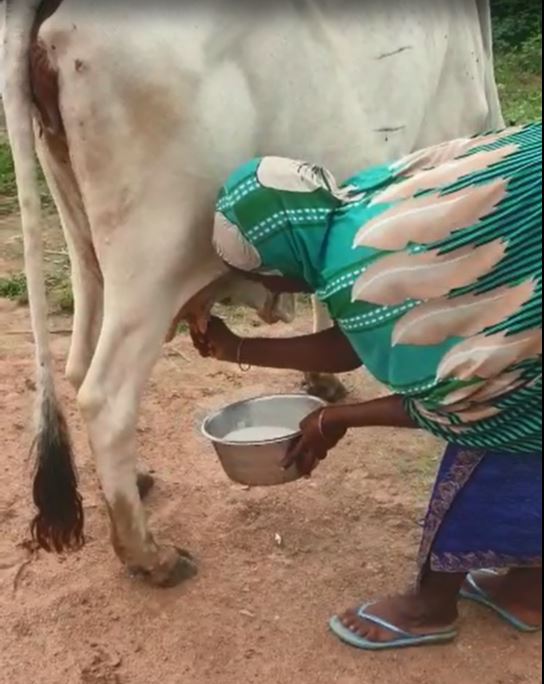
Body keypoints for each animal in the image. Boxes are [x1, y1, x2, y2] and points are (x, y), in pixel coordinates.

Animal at [2, 0, 504, 584]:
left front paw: (323, 379)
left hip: (84, 242)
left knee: (78, 364)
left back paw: (137, 483)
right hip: (151, 258)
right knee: (105, 396)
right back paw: (150, 555)